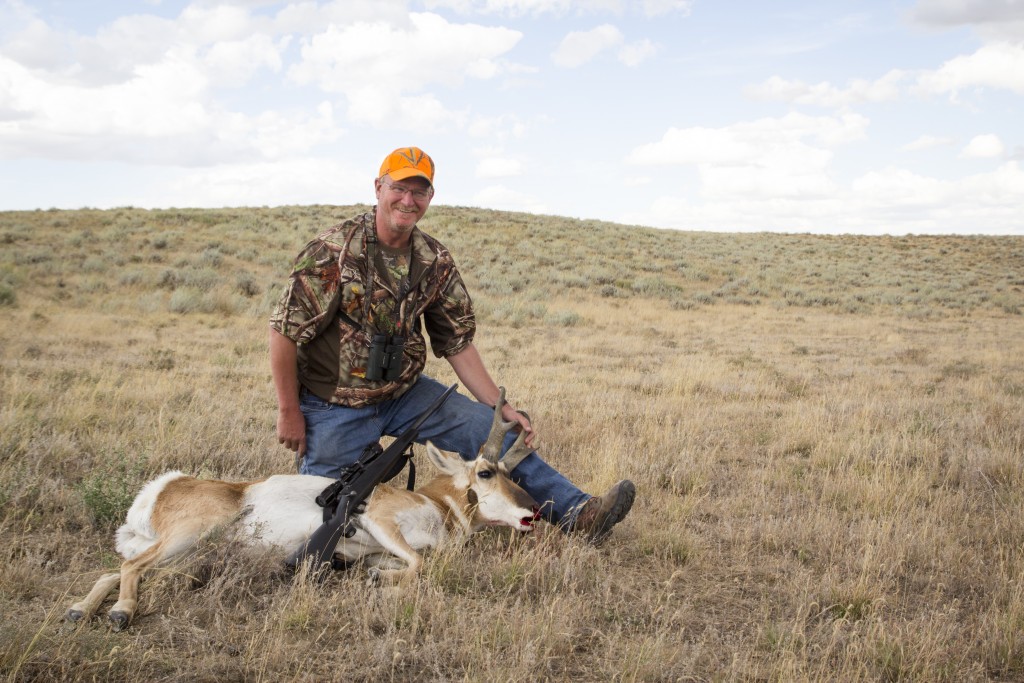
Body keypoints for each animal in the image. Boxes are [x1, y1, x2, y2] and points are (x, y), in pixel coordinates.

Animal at [68, 389, 540, 630]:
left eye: (513, 472)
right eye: (485, 472)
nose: (533, 510)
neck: (437, 505)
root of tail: (166, 486)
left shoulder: (380, 551)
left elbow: (408, 565)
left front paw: (378, 579)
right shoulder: (380, 520)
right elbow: (420, 563)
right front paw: (381, 586)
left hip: (185, 556)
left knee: (115, 569)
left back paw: (80, 610)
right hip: (189, 537)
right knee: (130, 567)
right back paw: (119, 612)